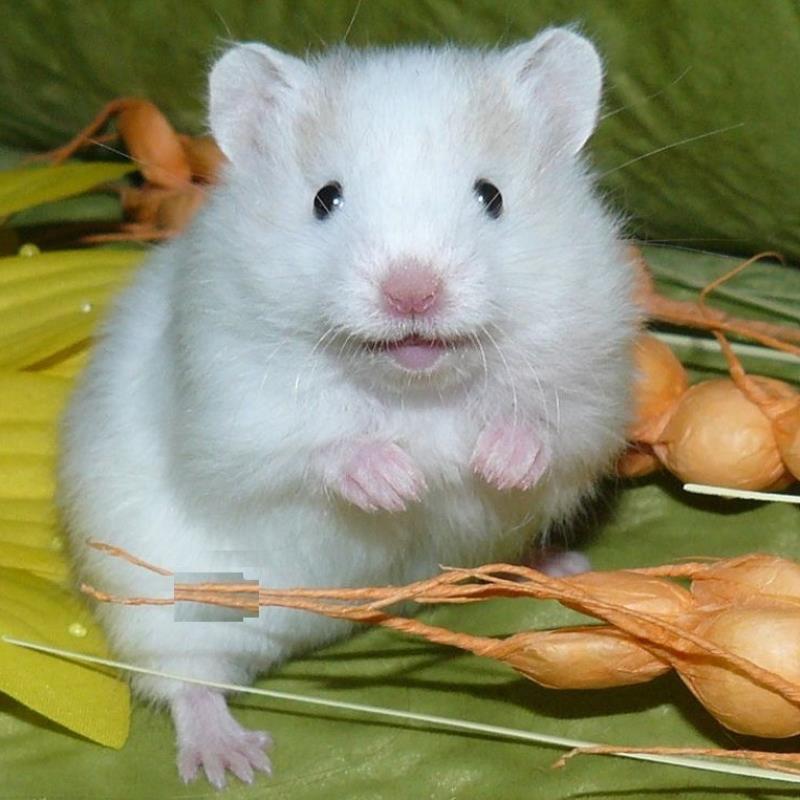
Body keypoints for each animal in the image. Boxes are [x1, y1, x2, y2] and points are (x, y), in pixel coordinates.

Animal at [58, 28, 637, 788]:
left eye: (492, 195)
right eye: (324, 198)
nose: (412, 292)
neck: (414, 385)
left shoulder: (594, 384)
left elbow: (553, 436)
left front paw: (495, 461)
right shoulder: (230, 413)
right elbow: (312, 450)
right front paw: (399, 482)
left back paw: (562, 567)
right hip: (165, 602)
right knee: (187, 681)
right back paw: (232, 761)